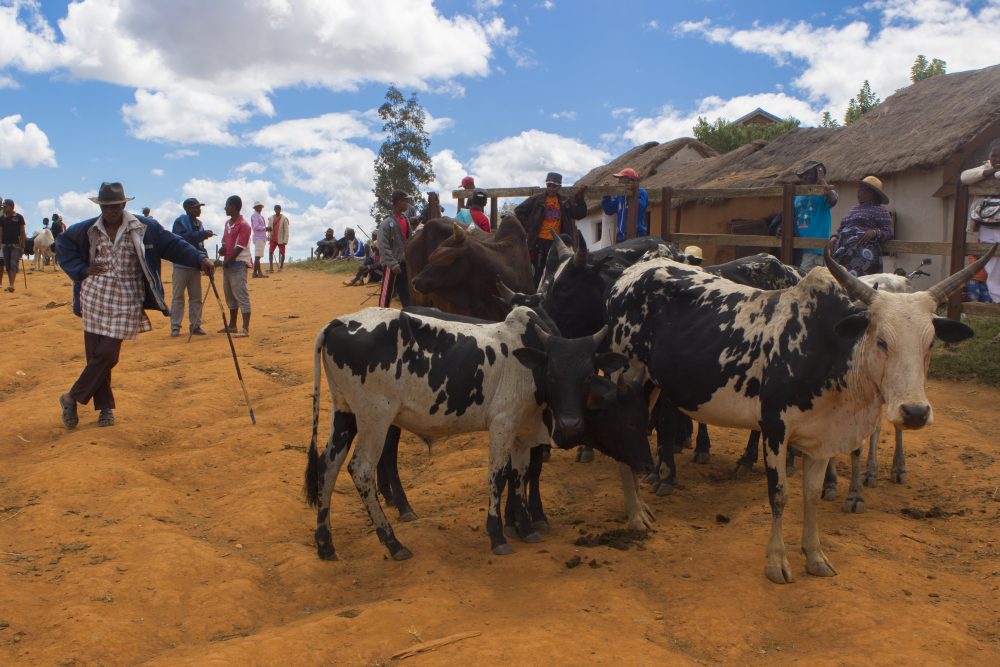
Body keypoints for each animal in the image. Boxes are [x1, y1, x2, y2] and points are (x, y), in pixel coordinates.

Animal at [302, 306, 624, 560]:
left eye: (587, 376)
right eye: (553, 374)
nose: (570, 423)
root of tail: (338, 323)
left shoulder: (521, 429)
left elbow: (519, 474)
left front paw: (524, 526)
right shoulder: (503, 423)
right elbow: (498, 475)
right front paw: (498, 535)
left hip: (345, 413)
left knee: (327, 466)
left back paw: (325, 544)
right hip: (375, 417)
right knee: (361, 469)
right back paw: (393, 542)